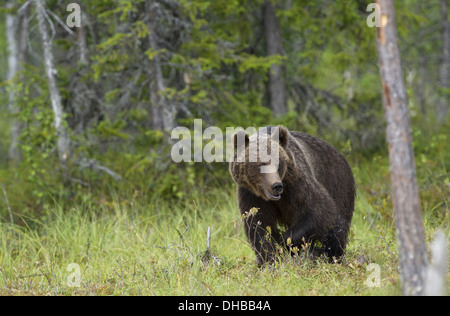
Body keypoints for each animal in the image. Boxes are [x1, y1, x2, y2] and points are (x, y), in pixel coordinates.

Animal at [230, 125, 356, 264]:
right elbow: (258, 225)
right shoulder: (250, 194)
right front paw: (269, 258)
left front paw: (283, 241)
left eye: (278, 163)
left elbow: (318, 210)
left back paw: (330, 255)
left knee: (337, 226)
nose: (276, 186)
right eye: (260, 164)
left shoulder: (296, 183)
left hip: (338, 184)